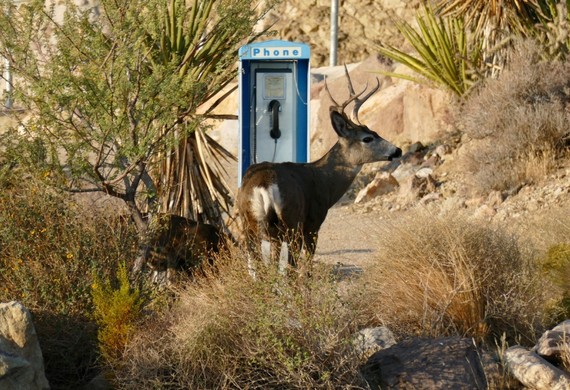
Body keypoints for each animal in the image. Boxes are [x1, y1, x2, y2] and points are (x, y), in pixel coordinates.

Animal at [235, 65, 400, 274]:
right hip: (291, 223)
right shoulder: (313, 223)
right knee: (289, 269)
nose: (397, 150)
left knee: (260, 268)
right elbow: (306, 267)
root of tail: (265, 185)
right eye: (367, 138)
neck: (323, 180)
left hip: (250, 226)